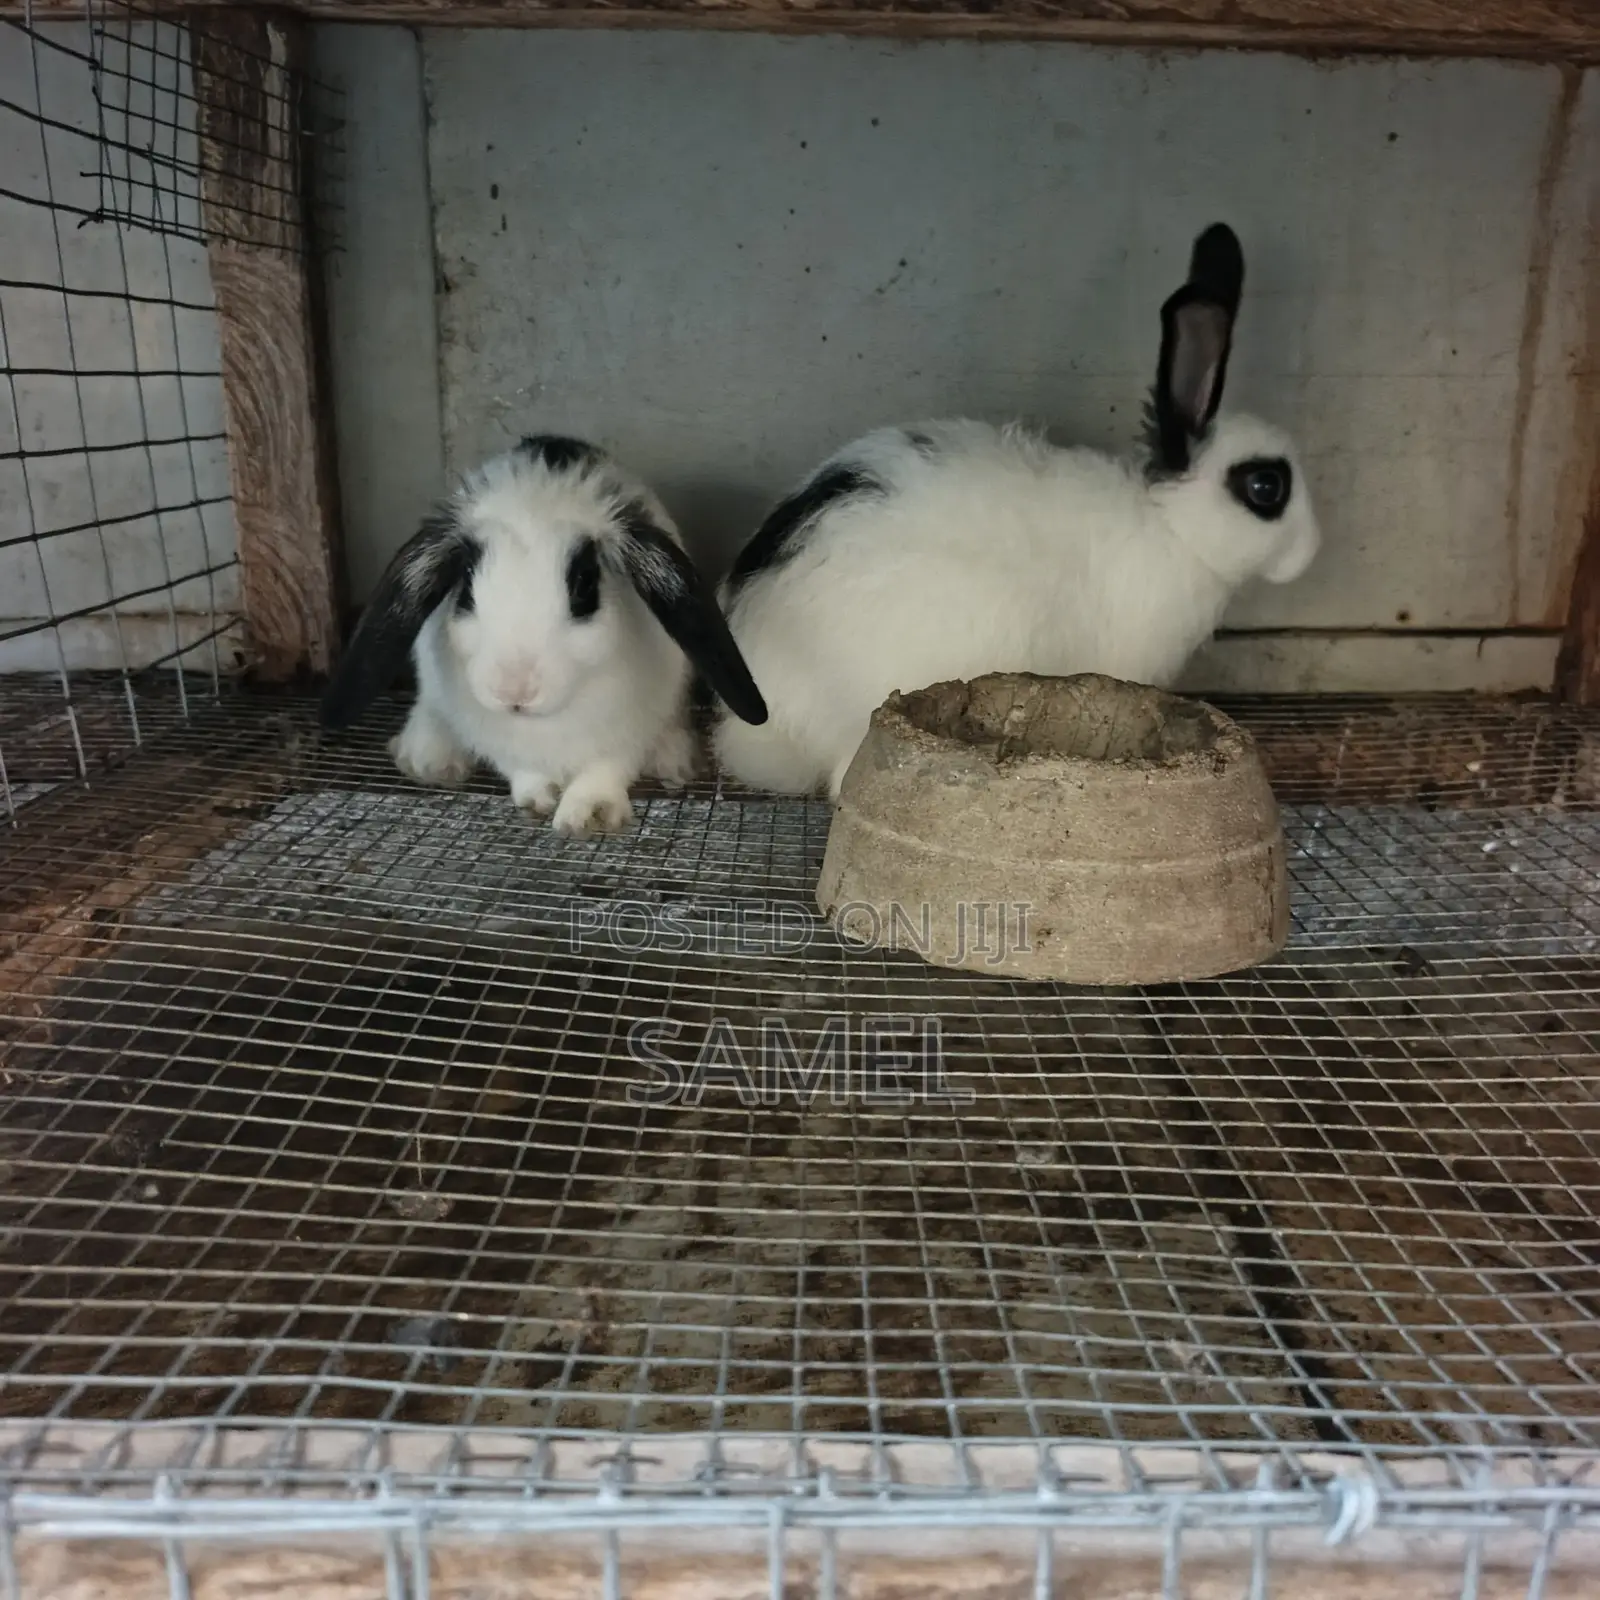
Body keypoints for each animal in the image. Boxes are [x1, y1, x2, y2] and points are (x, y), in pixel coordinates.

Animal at [320, 434, 768, 837]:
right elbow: (523, 770)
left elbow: (605, 769)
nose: (514, 691)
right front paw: (538, 799)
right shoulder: (499, 739)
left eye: (584, 584)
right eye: (466, 585)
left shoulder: (628, 729)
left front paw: (590, 817)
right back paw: (430, 762)